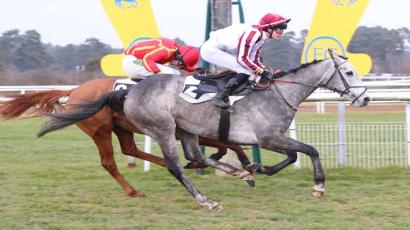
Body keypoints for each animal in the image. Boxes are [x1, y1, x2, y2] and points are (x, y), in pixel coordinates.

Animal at [0, 78, 253, 197]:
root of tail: (74, 91)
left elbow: (230, 145)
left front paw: (245, 166)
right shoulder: (191, 131)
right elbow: (229, 145)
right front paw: (247, 168)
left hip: (121, 126)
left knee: (130, 149)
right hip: (101, 129)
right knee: (109, 162)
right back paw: (133, 190)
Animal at [38, 49, 372, 211]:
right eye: (349, 71)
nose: (366, 98)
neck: (280, 92)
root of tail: (126, 91)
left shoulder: (268, 139)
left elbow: (290, 157)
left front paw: (257, 169)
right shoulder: (268, 137)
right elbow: (309, 151)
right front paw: (318, 186)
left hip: (183, 129)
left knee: (192, 155)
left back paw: (238, 173)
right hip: (159, 128)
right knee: (173, 164)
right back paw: (206, 200)